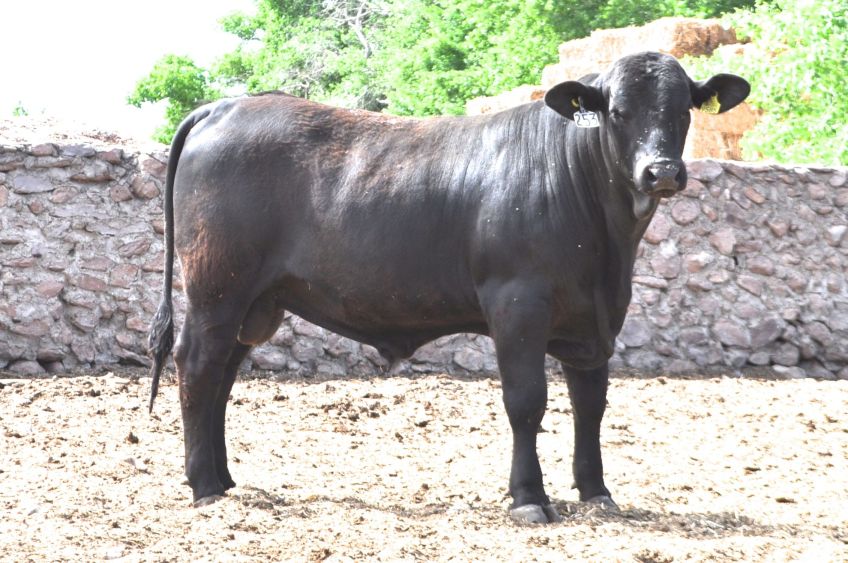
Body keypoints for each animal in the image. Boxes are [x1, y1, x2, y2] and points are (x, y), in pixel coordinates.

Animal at [148, 52, 749, 523]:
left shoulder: (595, 319)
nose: (661, 171)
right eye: (617, 112)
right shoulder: (517, 304)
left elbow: (591, 405)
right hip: (216, 287)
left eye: (683, 109)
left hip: (255, 302)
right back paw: (204, 487)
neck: (606, 243)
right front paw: (529, 499)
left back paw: (224, 479)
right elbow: (526, 402)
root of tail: (224, 107)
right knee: (198, 366)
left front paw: (597, 491)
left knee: (222, 377)